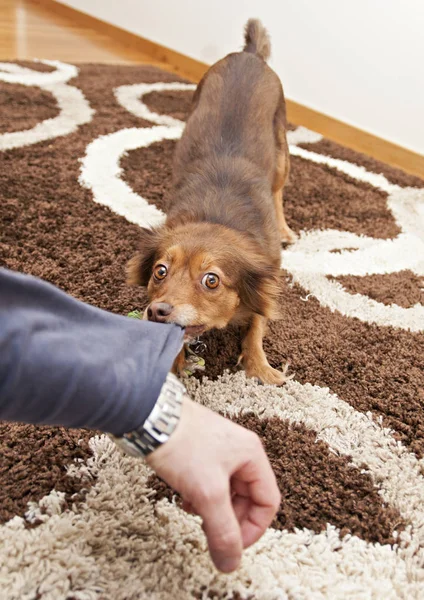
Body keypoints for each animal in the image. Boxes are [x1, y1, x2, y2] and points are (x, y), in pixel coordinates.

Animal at [127, 19, 296, 384]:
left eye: (211, 280)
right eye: (160, 271)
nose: (157, 310)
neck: (219, 218)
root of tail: (249, 55)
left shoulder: (268, 277)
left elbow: (257, 323)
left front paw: (259, 365)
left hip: (281, 154)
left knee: (278, 190)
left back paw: (285, 227)